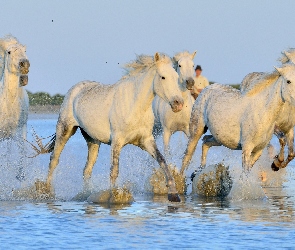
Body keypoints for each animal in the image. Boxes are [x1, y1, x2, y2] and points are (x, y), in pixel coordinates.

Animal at [43, 52, 185, 201]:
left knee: (87, 169)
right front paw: (114, 197)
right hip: (64, 130)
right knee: (54, 160)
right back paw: (47, 192)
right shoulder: (117, 141)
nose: (178, 103)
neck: (135, 106)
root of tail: (74, 89)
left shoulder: (146, 140)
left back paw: (86, 194)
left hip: (92, 140)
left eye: (176, 77)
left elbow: (162, 160)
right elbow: (114, 170)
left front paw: (174, 194)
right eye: (163, 77)